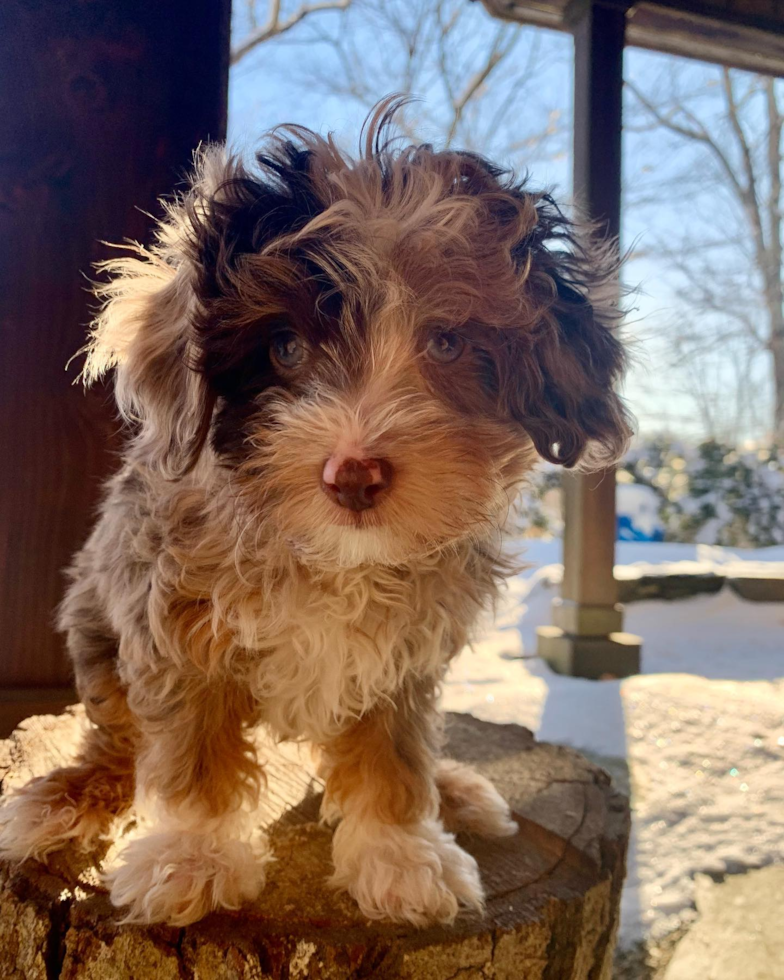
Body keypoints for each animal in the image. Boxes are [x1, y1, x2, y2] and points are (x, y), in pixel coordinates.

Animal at [0, 99, 632, 928]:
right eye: (287, 347)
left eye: (449, 342)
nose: (353, 474)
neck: (332, 556)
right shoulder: (170, 626)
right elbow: (193, 752)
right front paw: (193, 856)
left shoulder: (407, 655)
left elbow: (393, 752)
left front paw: (402, 854)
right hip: (94, 625)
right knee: (116, 735)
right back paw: (65, 798)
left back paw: (454, 789)